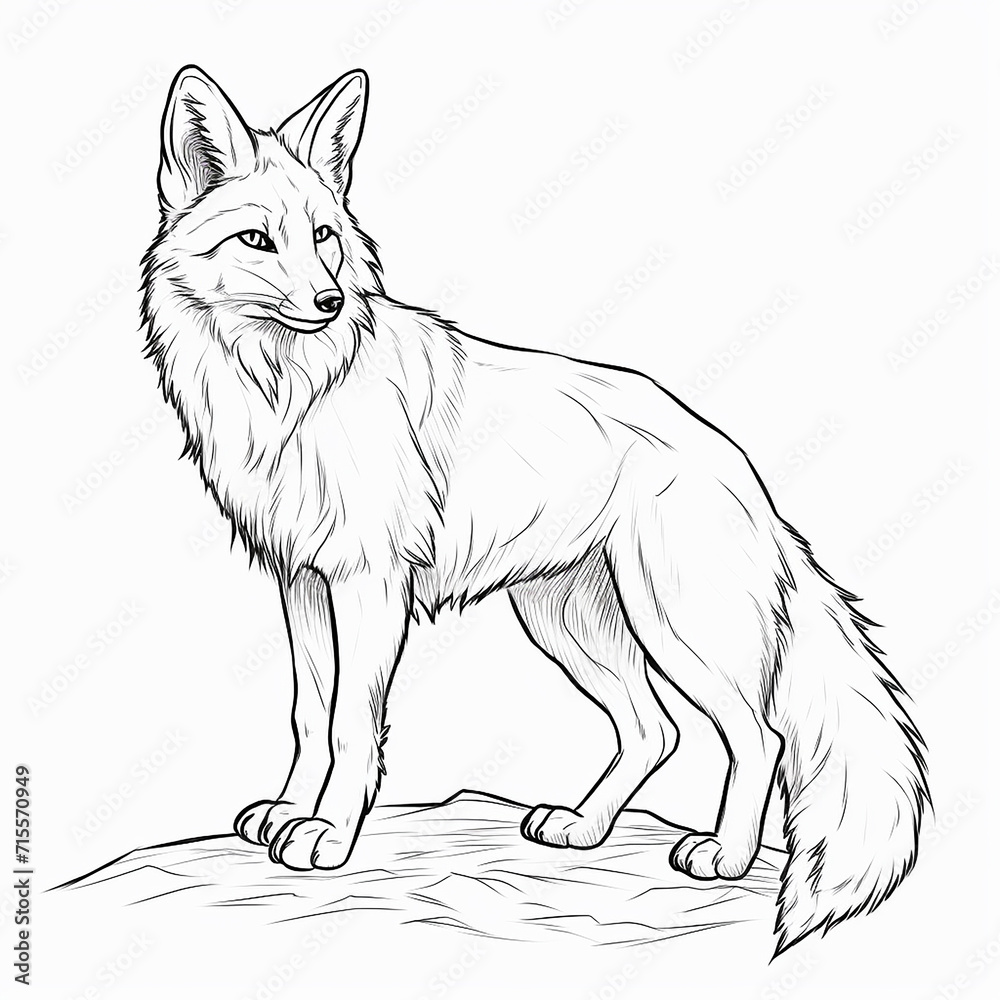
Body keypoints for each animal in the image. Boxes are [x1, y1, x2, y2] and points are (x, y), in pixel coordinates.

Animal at [141, 65, 929, 955]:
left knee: (758, 735)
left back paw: (723, 856)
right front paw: (286, 813)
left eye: (325, 238)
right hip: (567, 624)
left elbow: (352, 727)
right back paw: (583, 829)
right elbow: (310, 715)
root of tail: (740, 467)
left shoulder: (369, 585)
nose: (331, 301)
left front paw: (330, 837)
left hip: (672, 628)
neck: (288, 391)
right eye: (257, 241)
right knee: (655, 730)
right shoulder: (302, 580)